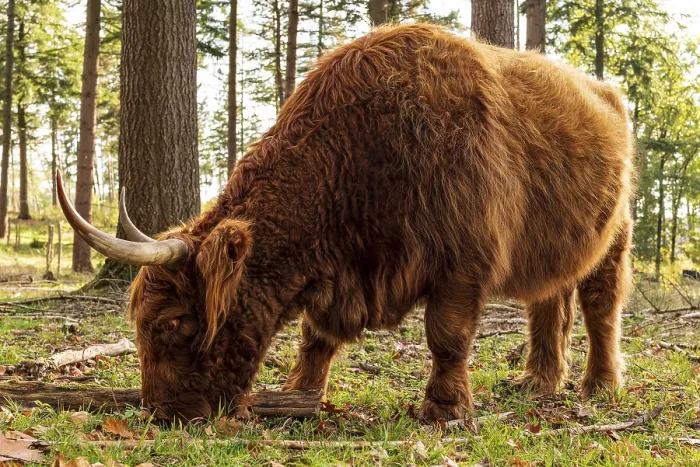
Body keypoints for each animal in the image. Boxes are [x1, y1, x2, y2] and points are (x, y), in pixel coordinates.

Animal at [58, 24, 634, 423]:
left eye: (171, 322)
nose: (161, 412)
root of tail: (606, 91)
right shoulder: (338, 267)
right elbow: (316, 336)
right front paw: (301, 393)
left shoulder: (462, 263)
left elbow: (447, 337)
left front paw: (444, 410)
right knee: (550, 301)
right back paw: (539, 381)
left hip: (617, 231)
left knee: (600, 306)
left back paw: (600, 385)